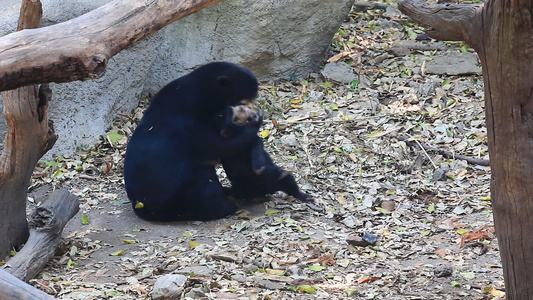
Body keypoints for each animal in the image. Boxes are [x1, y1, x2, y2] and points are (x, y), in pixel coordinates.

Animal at [122, 62, 260, 221]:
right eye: (243, 100)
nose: (252, 109)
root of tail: (140, 206)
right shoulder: (190, 124)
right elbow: (217, 146)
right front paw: (252, 124)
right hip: (179, 192)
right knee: (204, 185)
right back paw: (226, 207)